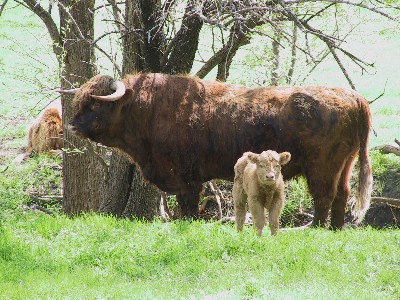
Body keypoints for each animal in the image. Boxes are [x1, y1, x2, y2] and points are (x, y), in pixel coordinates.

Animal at [57, 72, 374, 227]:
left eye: (95, 104)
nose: (70, 125)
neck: (146, 109)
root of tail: (352, 96)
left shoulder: (186, 176)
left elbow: (187, 204)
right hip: (344, 165)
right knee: (341, 195)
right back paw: (335, 229)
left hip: (322, 167)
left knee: (324, 196)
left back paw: (317, 228)